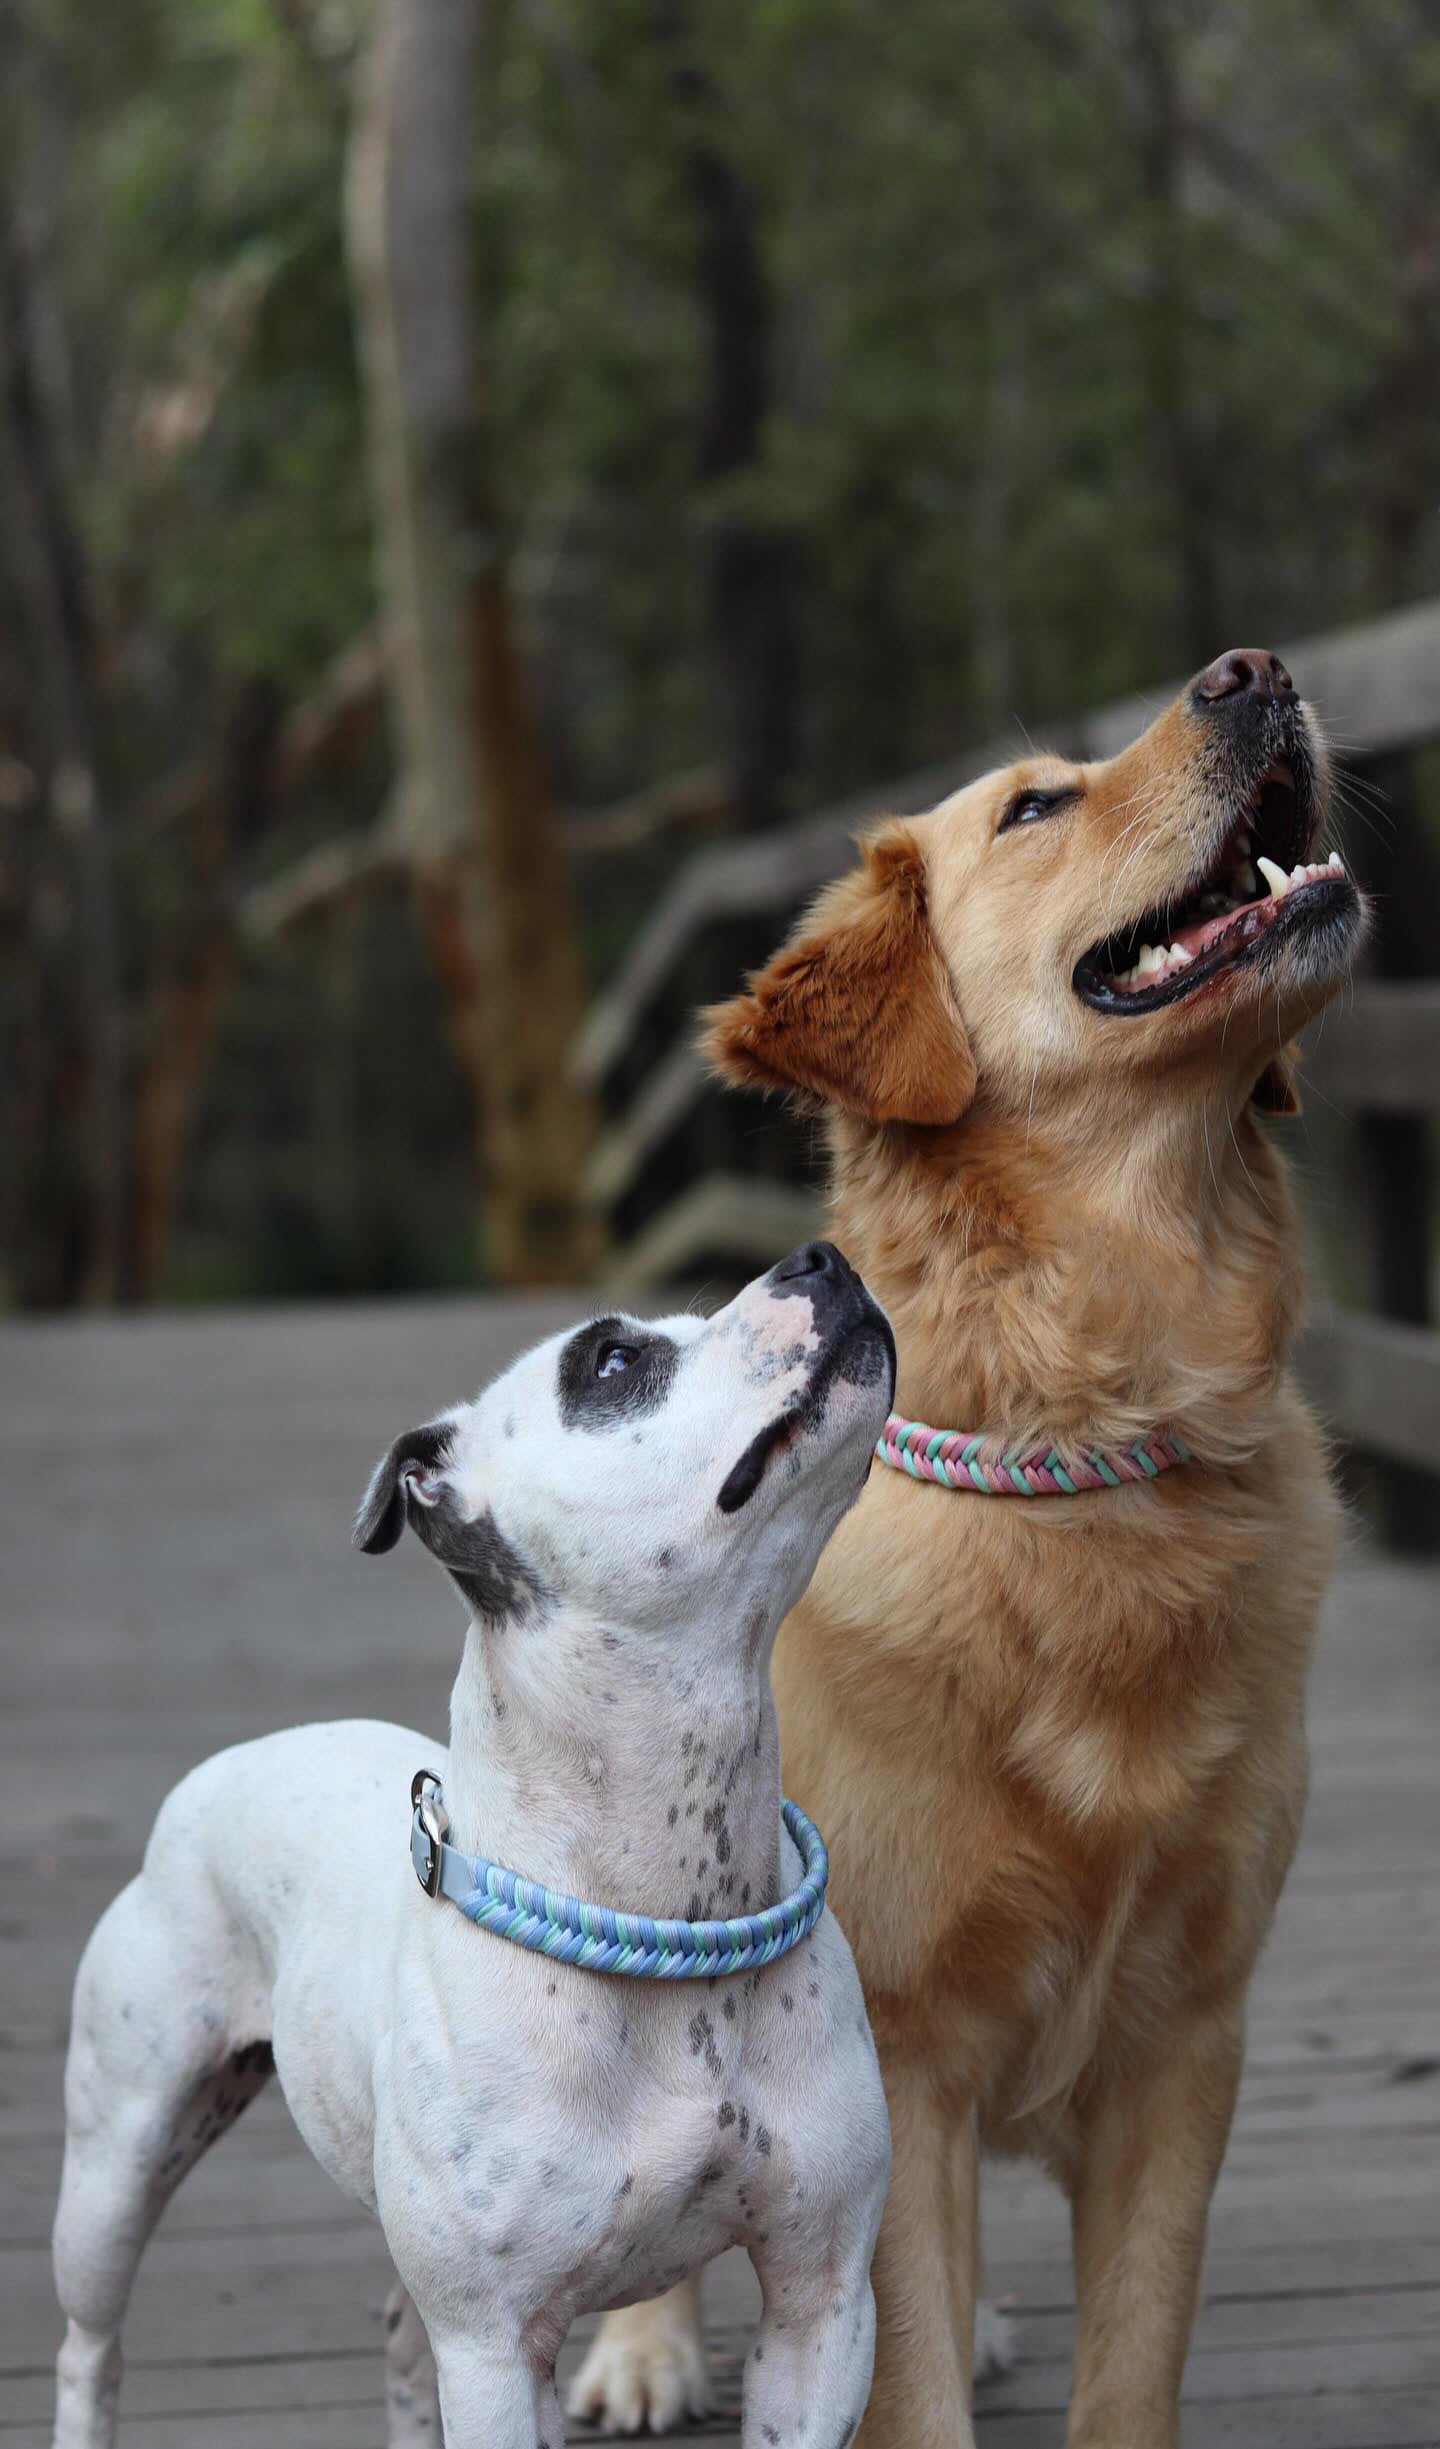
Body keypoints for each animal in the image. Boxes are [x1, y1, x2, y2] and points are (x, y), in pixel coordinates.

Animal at [56, 1244, 896, 2449]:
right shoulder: (499, 2347)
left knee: (401, 2344)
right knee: (90, 2341)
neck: (670, 1909)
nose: (817, 1256)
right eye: (613, 1361)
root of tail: (239, 1756)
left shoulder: (820, 2304)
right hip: (117, 2163)